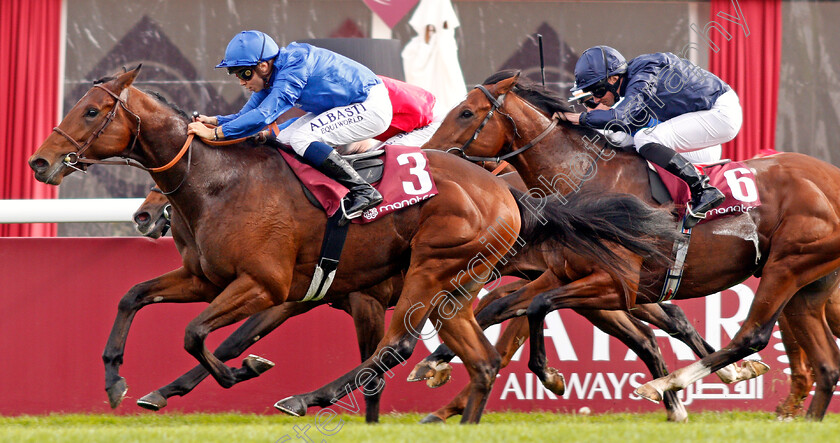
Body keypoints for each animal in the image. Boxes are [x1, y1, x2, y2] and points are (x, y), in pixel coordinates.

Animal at [27, 66, 676, 424]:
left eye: (91, 110)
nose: (40, 162)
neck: (218, 180)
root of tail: (506, 193)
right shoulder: (214, 280)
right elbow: (135, 297)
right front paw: (119, 382)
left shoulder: (267, 285)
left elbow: (200, 335)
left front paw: (243, 373)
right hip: (462, 286)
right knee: (496, 350)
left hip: (434, 271)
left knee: (409, 344)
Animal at [420, 71, 840, 422]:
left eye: (466, 113)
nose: (429, 153)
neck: (585, 180)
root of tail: (829, 178)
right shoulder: (563, 274)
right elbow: (507, 306)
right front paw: (437, 363)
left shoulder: (618, 283)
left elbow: (535, 306)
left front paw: (549, 376)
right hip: (807, 285)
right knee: (825, 361)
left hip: (787, 266)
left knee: (752, 335)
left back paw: (665, 384)